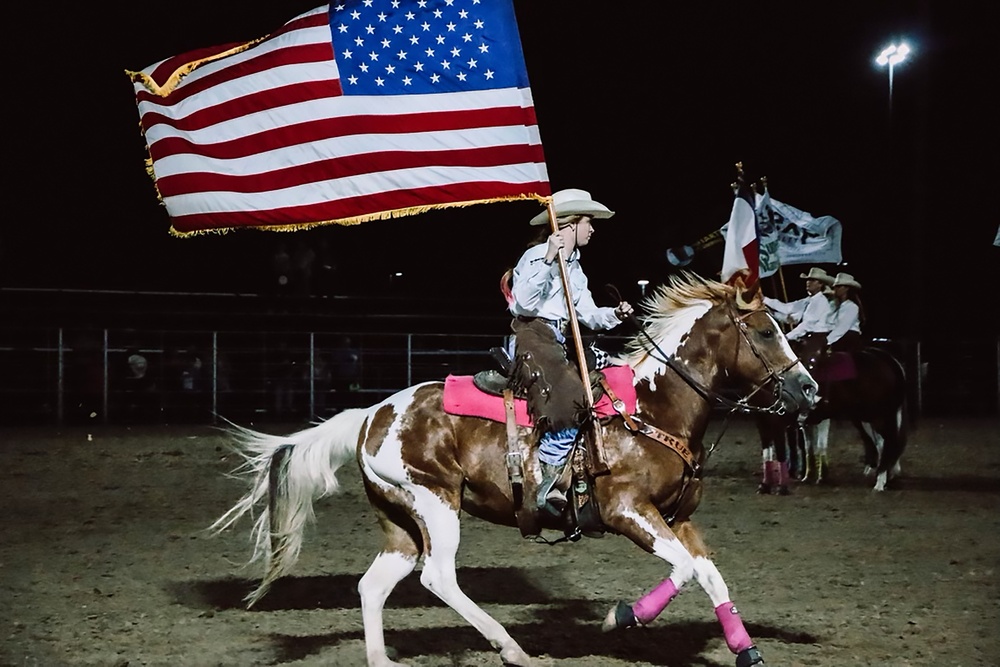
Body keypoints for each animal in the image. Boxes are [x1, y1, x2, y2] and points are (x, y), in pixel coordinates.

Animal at [209, 272, 812, 667]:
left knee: (373, 584)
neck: (651, 406)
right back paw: (512, 648)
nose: (808, 391)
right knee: (437, 577)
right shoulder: (627, 511)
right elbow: (684, 571)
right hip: (436, 503)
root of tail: (371, 415)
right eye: (764, 332)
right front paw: (621, 617)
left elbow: (709, 573)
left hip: (401, 522)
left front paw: (746, 650)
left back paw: (383, 659)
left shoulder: (678, 518)